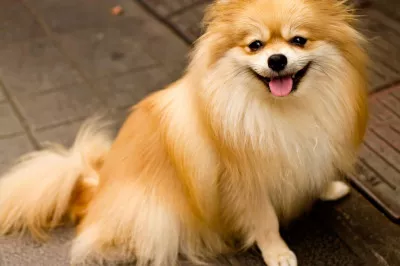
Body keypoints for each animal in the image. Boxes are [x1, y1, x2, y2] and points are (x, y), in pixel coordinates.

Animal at [0, 0, 368, 264]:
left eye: (299, 40)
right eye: (255, 45)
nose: (276, 59)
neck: (280, 110)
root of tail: (96, 187)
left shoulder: (308, 148)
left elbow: (313, 172)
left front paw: (328, 188)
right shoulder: (244, 183)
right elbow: (265, 221)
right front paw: (278, 253)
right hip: (153, 212)